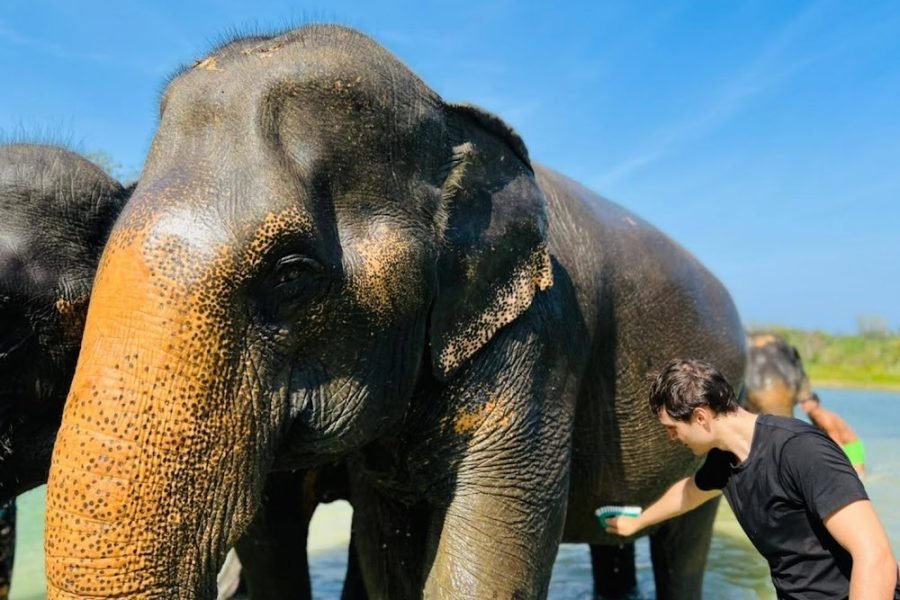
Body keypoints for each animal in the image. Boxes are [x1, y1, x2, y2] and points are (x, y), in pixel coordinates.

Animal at [44, 25, 746, 599]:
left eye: (291, 274)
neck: (448, 115)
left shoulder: (542, 336)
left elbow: (487, 552)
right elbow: (386, 553)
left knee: (685, 541)